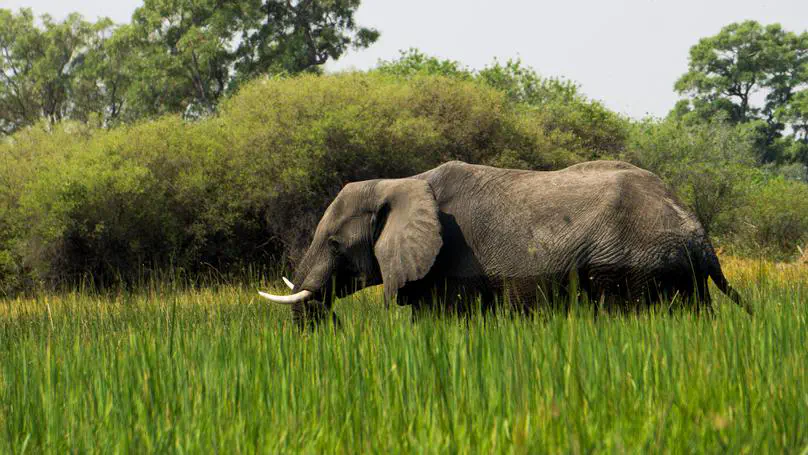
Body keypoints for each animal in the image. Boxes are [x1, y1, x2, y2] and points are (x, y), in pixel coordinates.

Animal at [260, 160, 752, 328]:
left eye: (335, 244)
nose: (331, 326)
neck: (400, 182)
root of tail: (699, 233)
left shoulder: (452, 266)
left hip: (636, 268)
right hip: (681, 277)